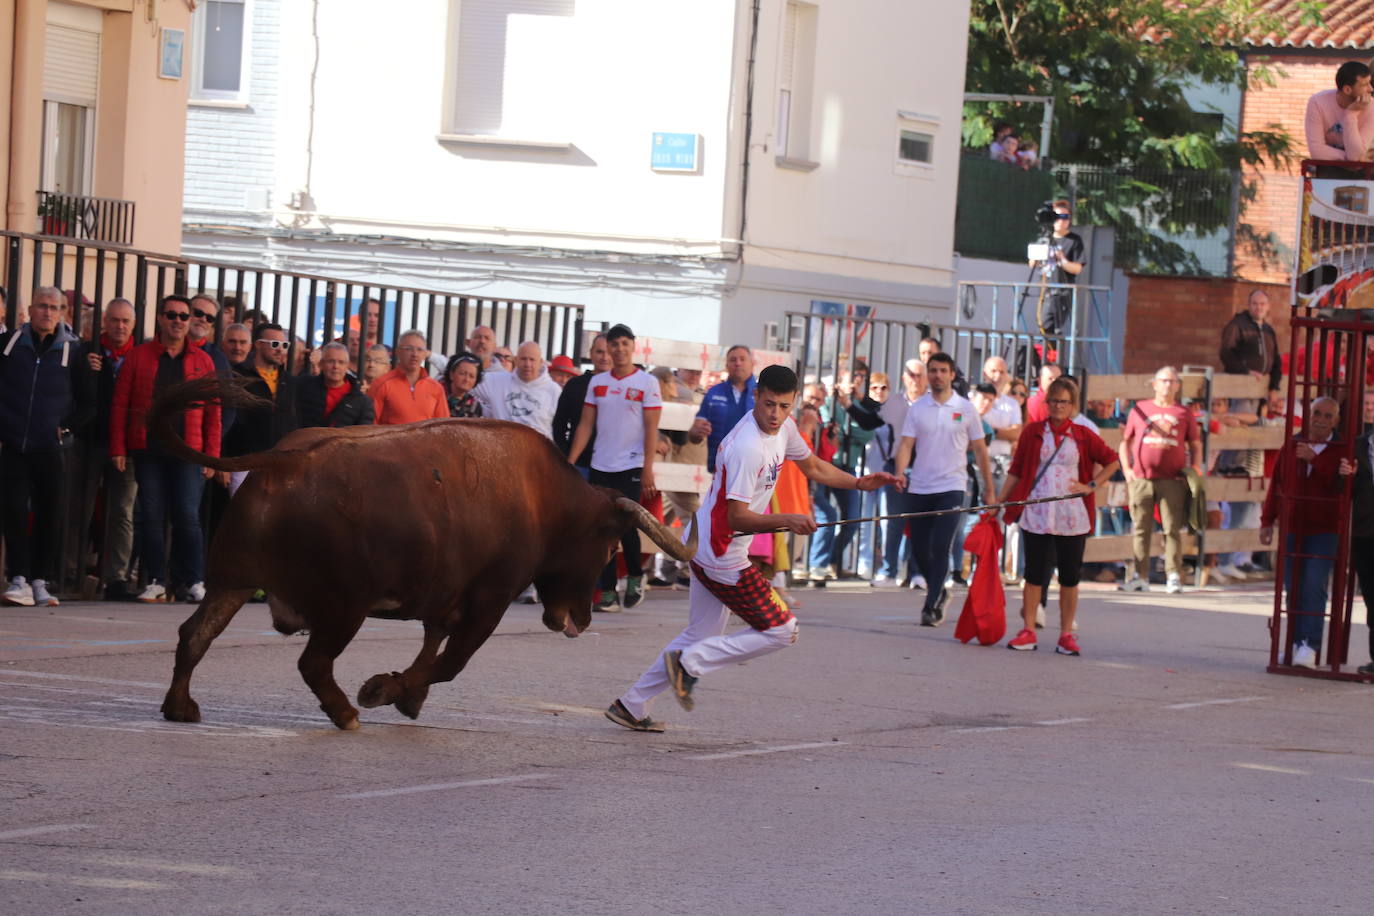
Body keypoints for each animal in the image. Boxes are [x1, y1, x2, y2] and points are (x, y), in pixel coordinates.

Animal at [147, 379, 697, 730]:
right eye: (608, 546)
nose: (579, 620)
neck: (543, 496)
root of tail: (286, 461)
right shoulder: (490, 599)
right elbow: (452, 660)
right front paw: (384, 690)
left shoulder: (446, 597)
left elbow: (432, 647)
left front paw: (408, 696)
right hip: (342, 607)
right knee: (313, 662)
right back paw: (346, 712)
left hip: (232, 581)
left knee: (195, 635)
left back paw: (179, 706)